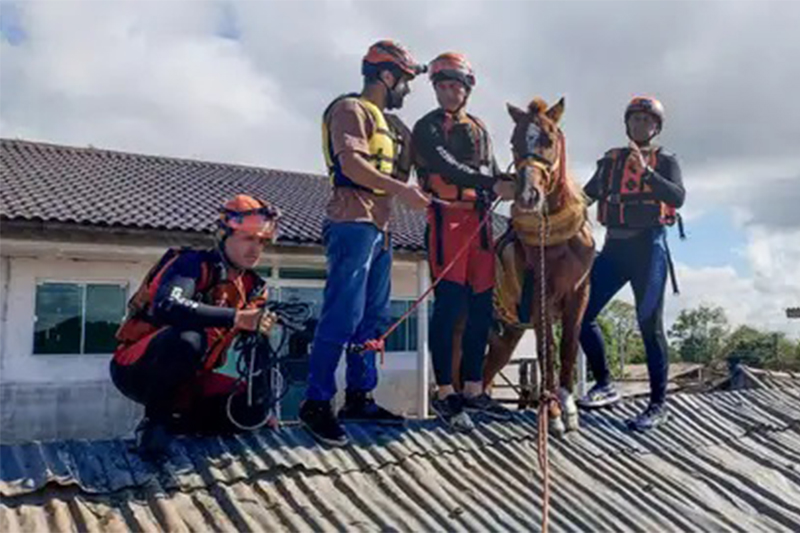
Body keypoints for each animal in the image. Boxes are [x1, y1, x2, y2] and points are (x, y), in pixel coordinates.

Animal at [450, 97, 592, 434]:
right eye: (514, 142)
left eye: (549, 139)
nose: (528, 196)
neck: (557, 237)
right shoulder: (541, 297)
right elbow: (546, 351)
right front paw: (552, 413)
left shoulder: (580, 294)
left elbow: (568, 347)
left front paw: (568, 407)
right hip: (463, 327)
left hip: (505, 337)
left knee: (485, 372)